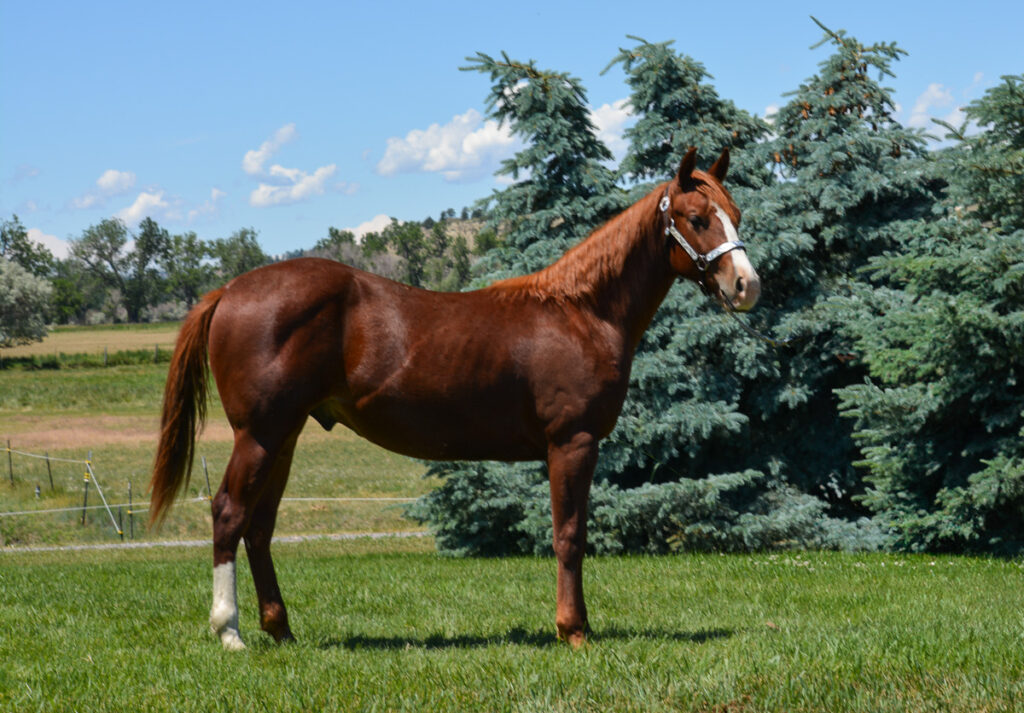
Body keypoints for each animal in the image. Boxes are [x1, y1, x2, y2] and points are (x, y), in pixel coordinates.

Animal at [151, 148, 761, 651]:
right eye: (697, 218)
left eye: (736, 212)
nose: (746, 286)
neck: (581, 311)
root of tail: (230, 289)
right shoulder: (572, 442)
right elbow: (569, 536)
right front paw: (574, 630)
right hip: (259, 434)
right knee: (228, 514)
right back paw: (229, 632)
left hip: (285, 435)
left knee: (259, 526)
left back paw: (280, 630)